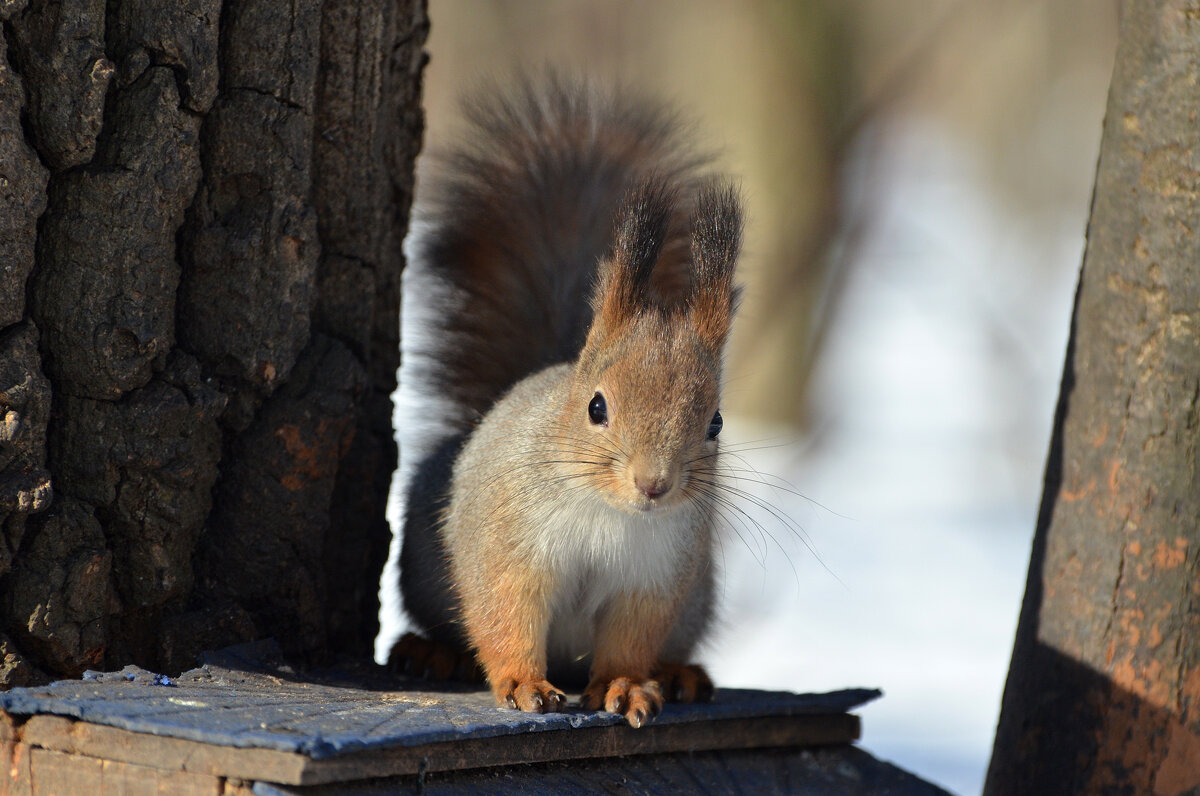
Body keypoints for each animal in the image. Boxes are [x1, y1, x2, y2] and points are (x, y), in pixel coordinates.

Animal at [388, 74, 739, 729]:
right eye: (596, 407)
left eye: (716, 422)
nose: (654, 485)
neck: (609, 514)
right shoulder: (507, 544)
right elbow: (505, 613)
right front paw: (524, 682)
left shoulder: (655, 578)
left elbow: (630, 638)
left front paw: (625, 684)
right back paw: (433, 652)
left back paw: (679, 673)